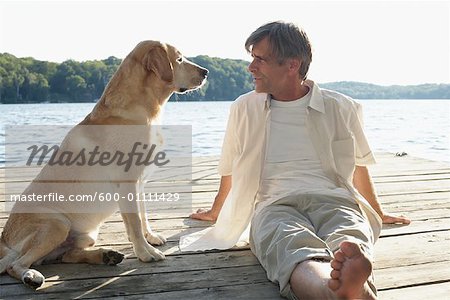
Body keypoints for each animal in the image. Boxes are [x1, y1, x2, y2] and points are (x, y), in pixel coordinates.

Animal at [0, 39, 207, 288]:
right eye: (179, 59)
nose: (206, 72)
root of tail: (3, 241)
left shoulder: (139, 184)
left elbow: (143, 217)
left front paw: (151, 238)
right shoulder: (127, 183)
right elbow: (134, 222)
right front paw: (145, 253)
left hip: (85, 235)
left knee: (67, 255)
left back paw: (106, 256)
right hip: (57, 224)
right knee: (15, 265)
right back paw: (31, 276)